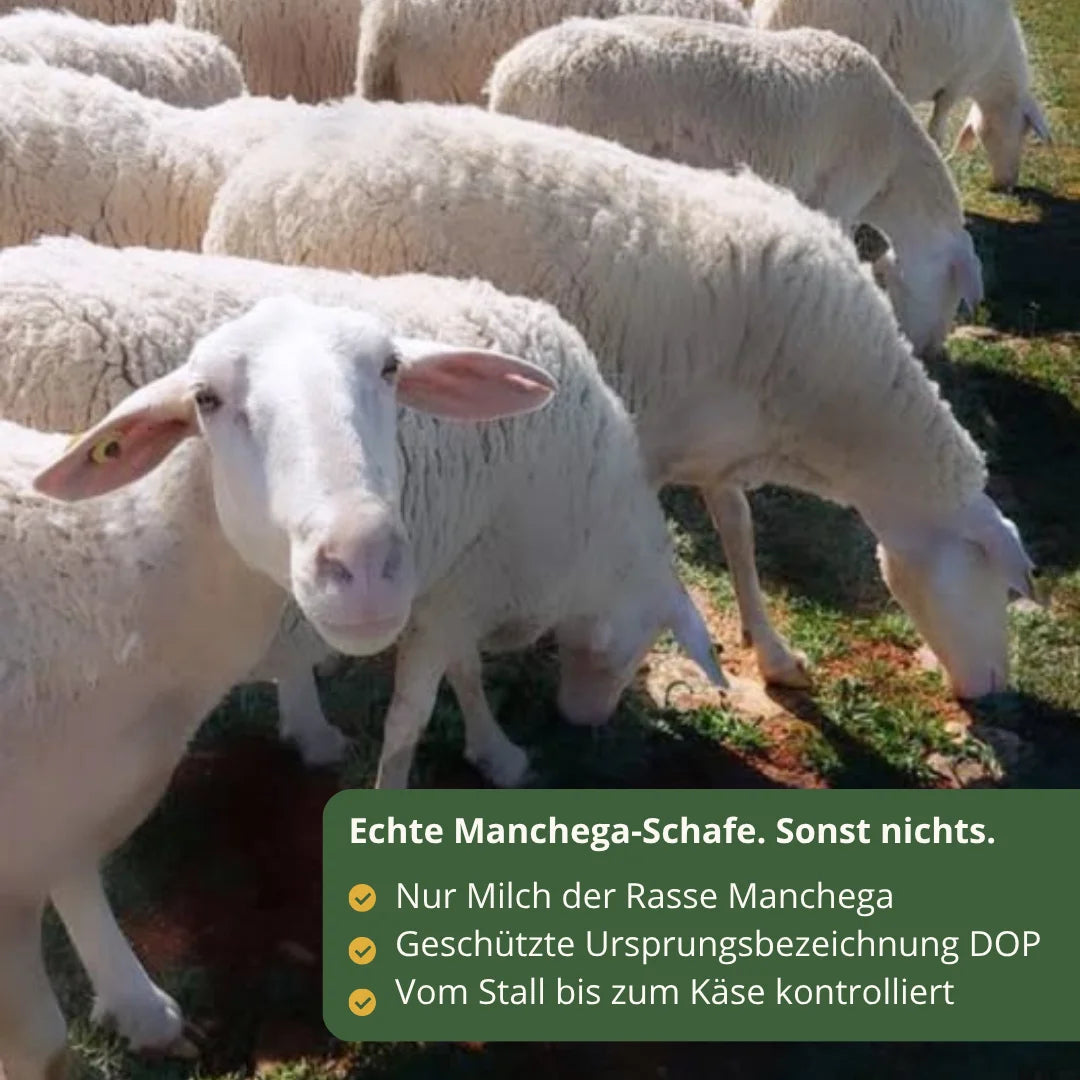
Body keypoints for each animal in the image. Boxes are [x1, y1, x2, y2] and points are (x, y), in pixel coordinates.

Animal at [2, 245, 725, 1077]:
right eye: (206, 399)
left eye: (391, 370)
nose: (587, 719)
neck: (580, 514)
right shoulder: (462, 581)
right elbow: (422, 705)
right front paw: (475, 762)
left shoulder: (446, 580)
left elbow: (453, 674)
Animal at [204, 100, 1038, 699]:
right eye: (998, 582)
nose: (992, 690)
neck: (834, 413)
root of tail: (243, 184)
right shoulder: (650, 443)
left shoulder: (715, 446)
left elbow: (739, 533)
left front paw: (772, 650)